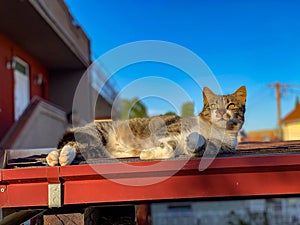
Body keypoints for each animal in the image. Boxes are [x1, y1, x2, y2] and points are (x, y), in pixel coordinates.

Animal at [45, 85, 246, 166]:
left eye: (231, 105)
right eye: (214, 106)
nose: (221, 112)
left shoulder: (216, 147)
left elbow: (191, 145)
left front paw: (149, 153)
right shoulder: (168, 130)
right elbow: (170, 144)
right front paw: (147, 153)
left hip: (95, 148)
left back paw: (57, 158)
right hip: (95, 136)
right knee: (71, 144)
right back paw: (59, 157)